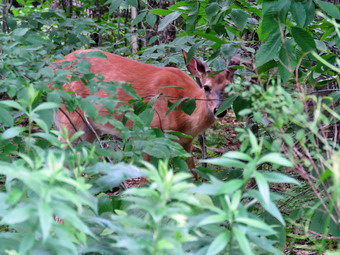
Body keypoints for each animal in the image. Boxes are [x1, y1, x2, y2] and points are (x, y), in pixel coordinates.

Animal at [52, 49, 239, 177]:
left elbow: (192, 174)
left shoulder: (186, 142)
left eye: (229, 87)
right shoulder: (151, 133)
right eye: (206, 87)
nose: (219, 111)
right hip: (68, 116)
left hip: (89, 128)